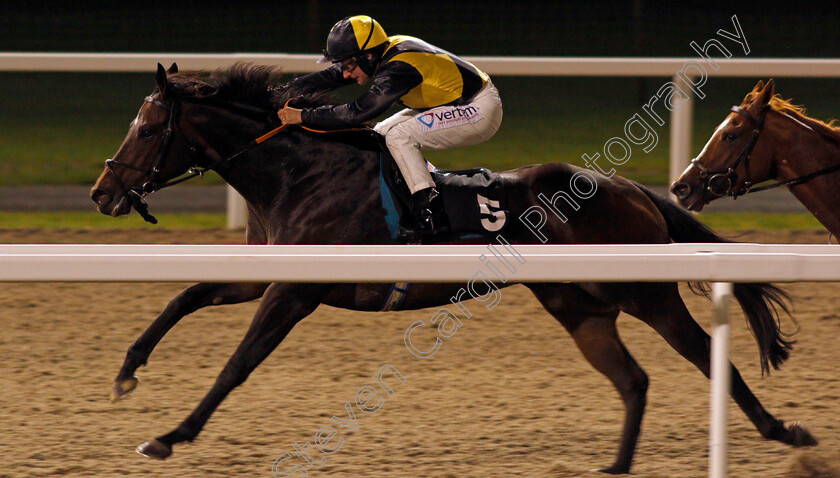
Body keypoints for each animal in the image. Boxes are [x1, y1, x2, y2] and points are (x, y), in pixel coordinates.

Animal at [87, 64, 812, 474]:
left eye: (146, 129)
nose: (101, 193)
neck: (298, 173)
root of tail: (633, 189)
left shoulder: (297, 289)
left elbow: (236, 365)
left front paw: (170, 436)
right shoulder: (263, 272)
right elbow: (186, 295)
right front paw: (127, 371)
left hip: (647, 293)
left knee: (707, 357)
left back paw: (782, 430)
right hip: (578, 305)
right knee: (633, 380)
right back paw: (615, 467)